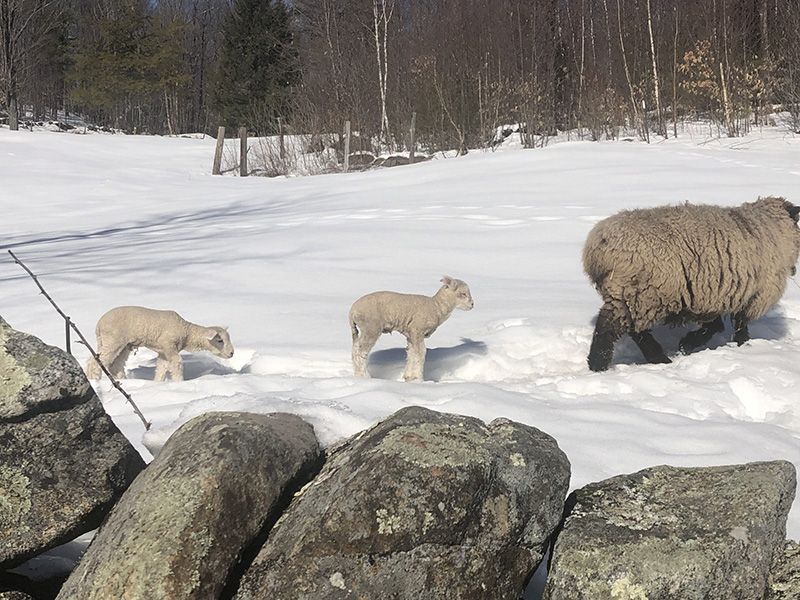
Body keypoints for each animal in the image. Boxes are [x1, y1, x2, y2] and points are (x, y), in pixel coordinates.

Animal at [85, 306, 234, 382]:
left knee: (115, 365)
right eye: (220, 340)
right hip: (113, 340)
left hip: (122, 345)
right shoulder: (168, 344)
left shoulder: (163, 351)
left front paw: (158, 383)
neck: (186, 331)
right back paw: (94, 380)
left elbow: (161, 368)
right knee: (95, 361)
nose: (232, 353)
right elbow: (177, 363)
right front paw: (179, 382)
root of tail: (99, 324)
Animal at [583, 196, 800, 372]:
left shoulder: (713, 294)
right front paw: (740, 347)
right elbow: (736, 326)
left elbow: (717, 325)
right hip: (643, 293)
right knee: (609, 328)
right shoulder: (753, 294)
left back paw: (655, 358)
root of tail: (596, 246)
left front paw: (687, 344)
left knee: (633, 330)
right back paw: (601, 365)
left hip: (631, 294)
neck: (770, 227)